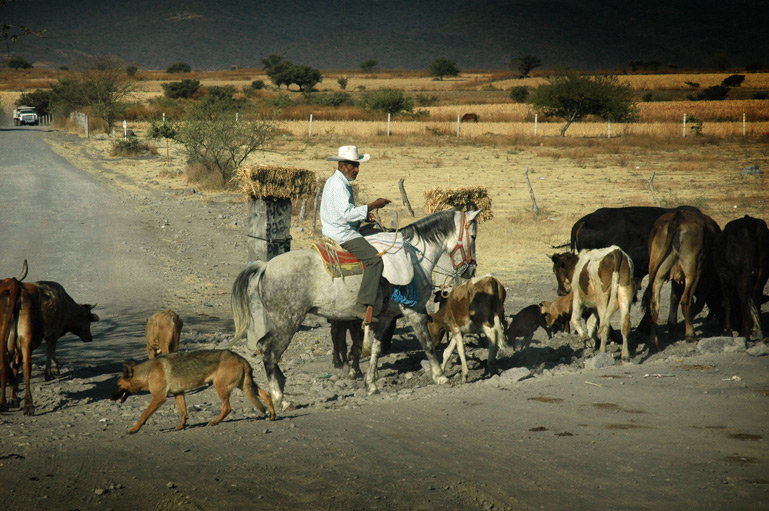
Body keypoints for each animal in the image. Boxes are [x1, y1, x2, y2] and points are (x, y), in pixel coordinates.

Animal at [11, 282, 98, 418]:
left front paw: (54, 370)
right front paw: (51, 372)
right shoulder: (55, 331)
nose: (90, 338)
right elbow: (51, 349)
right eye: (88, 320)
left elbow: (51, 350)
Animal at [109, 350, 274, 434]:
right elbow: (183, 412)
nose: (110, 398)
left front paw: (134, 429)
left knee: (227, 408)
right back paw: (272, 415)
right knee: (266, 394)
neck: (148, 371)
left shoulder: (159, 398)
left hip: (221, 387)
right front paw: (181, 426)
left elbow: (144, 414)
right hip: (245, 387)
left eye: (117, 385)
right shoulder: (179, 393)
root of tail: (242, 359)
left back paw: (214, 422)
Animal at [231, 210, 476, 410]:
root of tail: (266, 266)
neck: (415, 258)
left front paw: (372, 385)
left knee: (264, 346)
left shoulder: (385, 318)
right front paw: (440, 376)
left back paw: (281, 386)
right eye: (473, 236)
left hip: (281, 323)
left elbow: (376, 349)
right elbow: (427, 344)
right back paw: (280, 398)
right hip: (288, 322)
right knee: (271, 353)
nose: (470, 270)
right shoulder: (414, 312)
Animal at [640, 210, 720, 350]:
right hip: (693, 270)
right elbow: (698, 304)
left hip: (658, 273)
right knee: (686, 301)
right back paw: (690, 335)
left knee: (654, 304)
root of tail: (676, 218)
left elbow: (674, 298)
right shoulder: (707, 280)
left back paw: (654, 341)